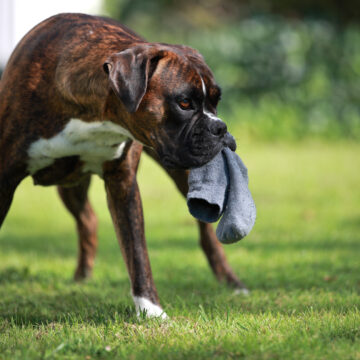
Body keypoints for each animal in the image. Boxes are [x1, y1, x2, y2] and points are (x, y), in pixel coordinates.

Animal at [0, 12, 248, 320]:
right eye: (184, 103)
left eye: (216, 101)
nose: (220, 127)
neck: (94, 115)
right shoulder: (4, 180)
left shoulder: (123, 185)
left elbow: (137, 251)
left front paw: (151, 310)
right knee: (88, 219)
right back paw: (82, 277)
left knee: (206, 234)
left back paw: (231, 282)